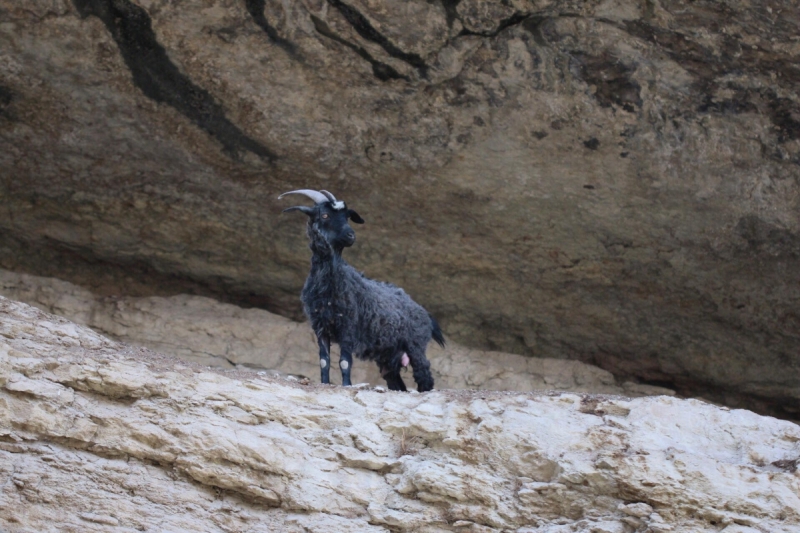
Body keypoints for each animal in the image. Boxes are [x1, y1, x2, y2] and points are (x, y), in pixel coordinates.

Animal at [280, 188, 444, 390]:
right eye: (325, 215)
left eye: (347, 217)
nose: (351, 235)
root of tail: (425, 313)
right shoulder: (321, 327)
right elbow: (324, 361)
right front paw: (325, 383)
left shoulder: (348, 326)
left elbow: (344, 362)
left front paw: (346, 385)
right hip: (389, 356)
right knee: (396, 381)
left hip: (416, 345)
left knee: (424, 375)